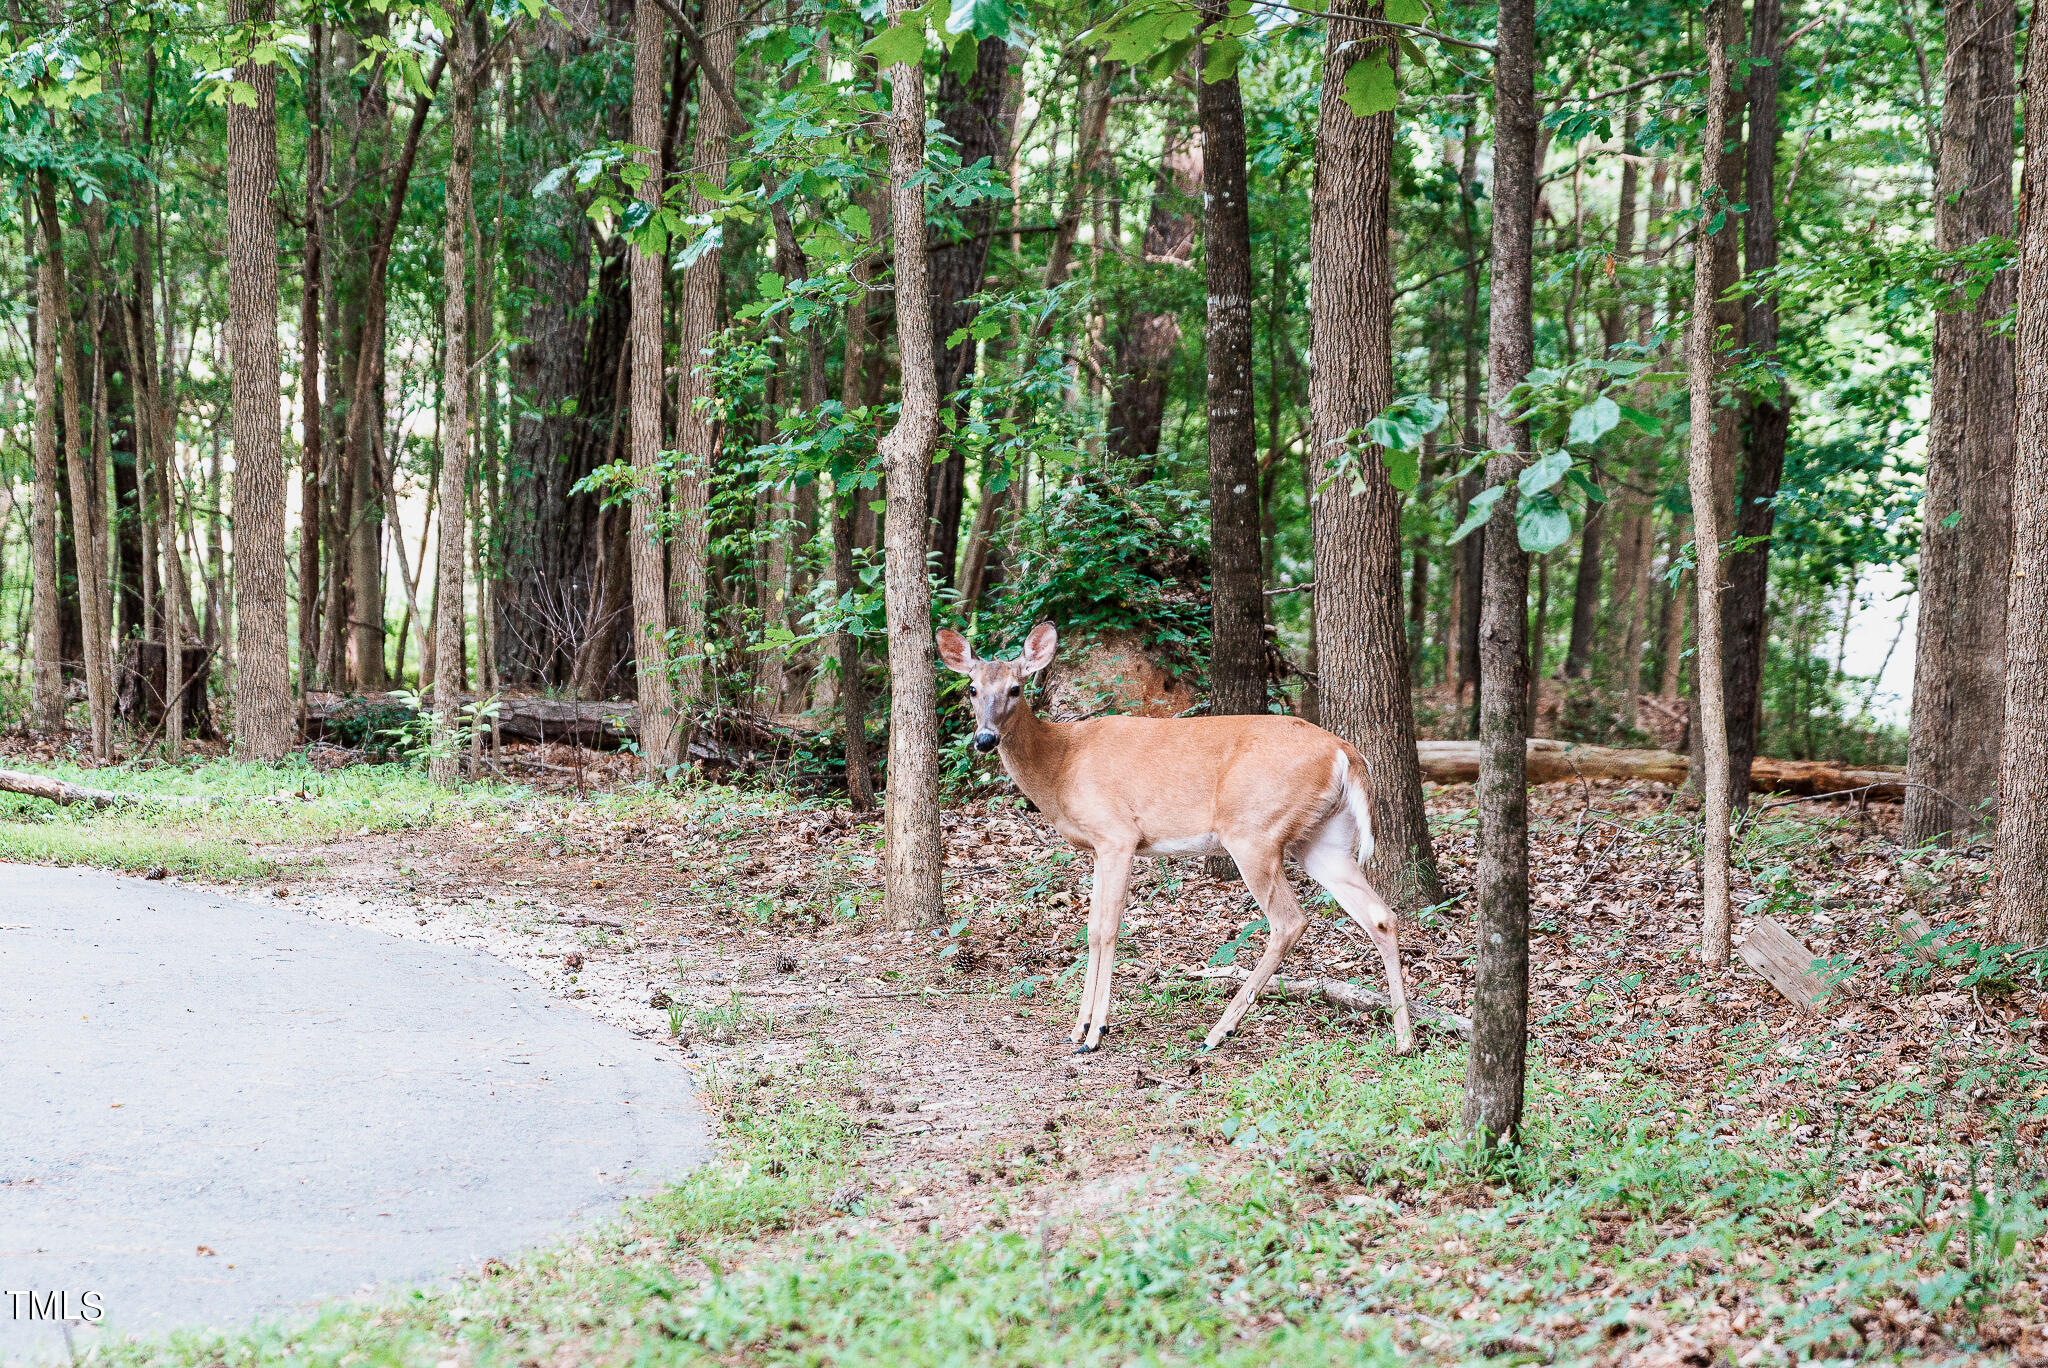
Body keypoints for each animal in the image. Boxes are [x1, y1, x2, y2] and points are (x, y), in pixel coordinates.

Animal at [937, 626, 1409, 1056]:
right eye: (973, 689)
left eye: (1016, 688)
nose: (984, 739)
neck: (1060, 764)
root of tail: (1346, 752)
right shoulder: (1097, 848)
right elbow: (1089, 929)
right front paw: (1077, 1029)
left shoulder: (1118, 834)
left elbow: (1107, 928)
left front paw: (1094, 1034)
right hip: (1323, 838)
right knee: (1380, 915)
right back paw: (1403, 1039)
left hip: (1253, 830)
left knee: (1289, 921)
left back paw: (1218, 1032)